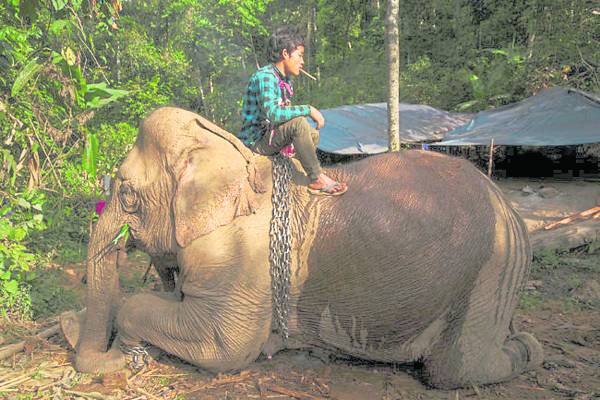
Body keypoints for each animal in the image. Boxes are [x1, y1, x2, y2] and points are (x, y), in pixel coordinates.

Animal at [67, 106, 544, 388]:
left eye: (126, 192)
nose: (113, 358)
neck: (224, 152)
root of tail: (511, 210)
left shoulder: (239, 258)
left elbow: (226, 347)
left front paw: (128, 345)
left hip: (494, 270)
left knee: (454, 371)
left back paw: (528, 348)